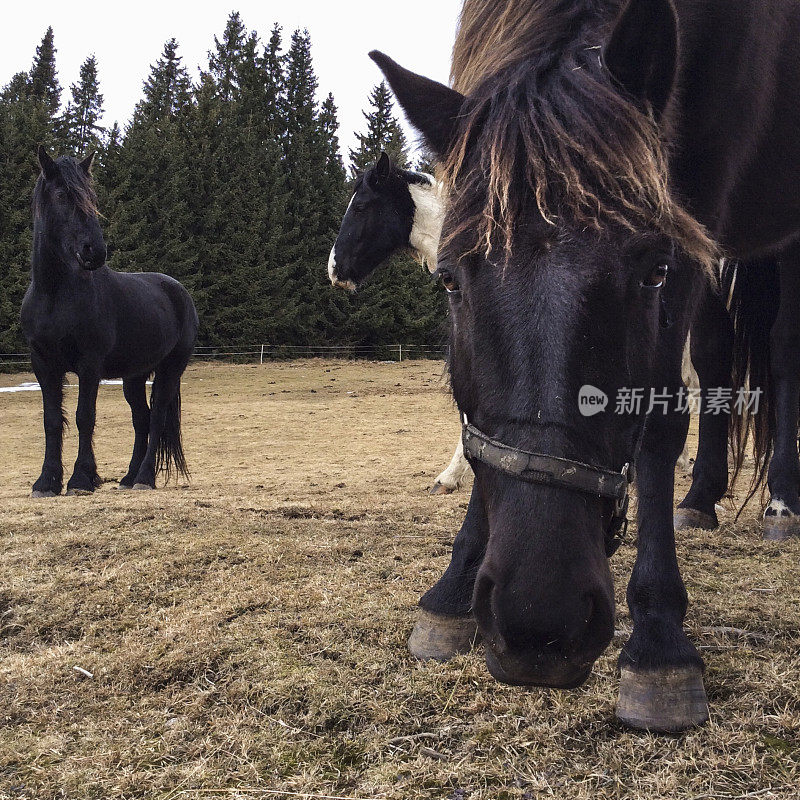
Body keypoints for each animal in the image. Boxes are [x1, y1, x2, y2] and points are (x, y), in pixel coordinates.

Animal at [21, 150, 198, 496]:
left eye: (92, 198)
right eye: (61, 195)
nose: (95, 251)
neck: (54, 295)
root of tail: (178, 290)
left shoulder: (89, 365)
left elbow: (84, 417)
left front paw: (81, 479)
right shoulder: (43, 364)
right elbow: (52, 420)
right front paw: (46, 482)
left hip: (171, 368)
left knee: (156, 418)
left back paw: (144, 478)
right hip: (134, 375)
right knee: (141, 418)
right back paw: (129, 478)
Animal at [372, 0, 800, 732]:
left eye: (654, 271)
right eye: (450, 280)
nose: (539, 623)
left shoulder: (692, 210)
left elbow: (661, 416)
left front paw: (658, 638)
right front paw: (452, 592)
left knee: (783, 354)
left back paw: (782, 499)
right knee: (719, 354)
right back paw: (701, 498)